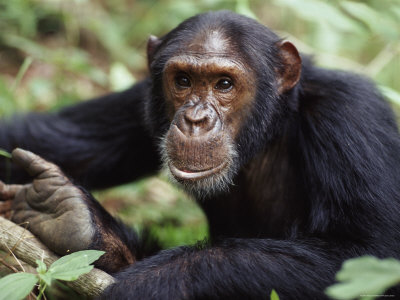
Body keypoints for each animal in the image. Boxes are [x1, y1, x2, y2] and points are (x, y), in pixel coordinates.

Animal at [0, 9, 400, 300]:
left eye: (224, 84)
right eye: (183, 81)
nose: (195, 119)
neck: (270, 131)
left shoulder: (349, 116)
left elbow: (364, 256)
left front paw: (150, 282)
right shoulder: (141, 101)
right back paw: (72, 219)